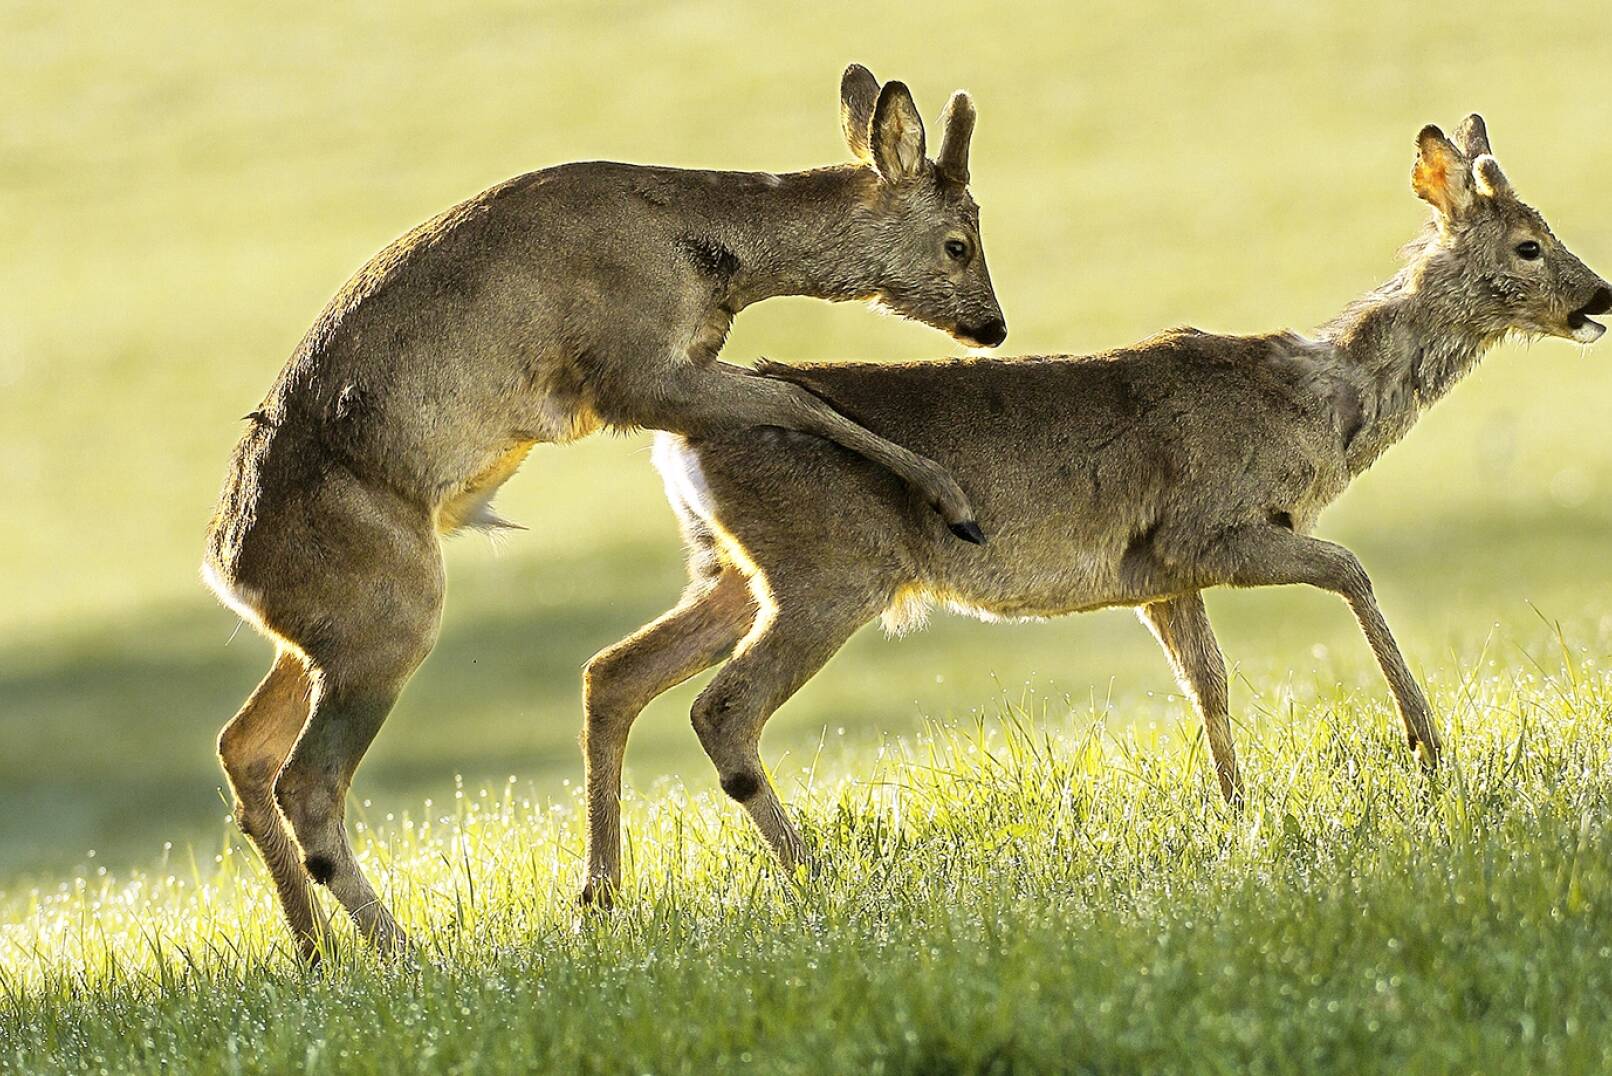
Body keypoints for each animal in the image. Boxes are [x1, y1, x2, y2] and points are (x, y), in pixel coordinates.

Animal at [201, 67, 1005, 961]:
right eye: (959, 243)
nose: (993, 326)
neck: (705, 255)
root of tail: (226, 570)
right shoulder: (634, 369)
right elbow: (801, 398)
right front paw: (954, 501)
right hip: (391, 613)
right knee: (307, 780)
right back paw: (404, 954)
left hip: (325, 631)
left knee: (244, 748)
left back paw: (316, 955)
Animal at [580, 117, 1612, 890]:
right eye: (1529, 244)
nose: (1599, 293)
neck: (1320, 405)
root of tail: (678, 443)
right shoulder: (1210, 527)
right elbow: (1351, 573)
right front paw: (1427, 749)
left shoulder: (1158, 573)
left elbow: (1210, 684)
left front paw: (1239, 813)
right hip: (828, 570)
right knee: (720, 710)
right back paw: (816, 875)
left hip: (732, 571)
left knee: (614, 673)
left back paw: (604, 895)